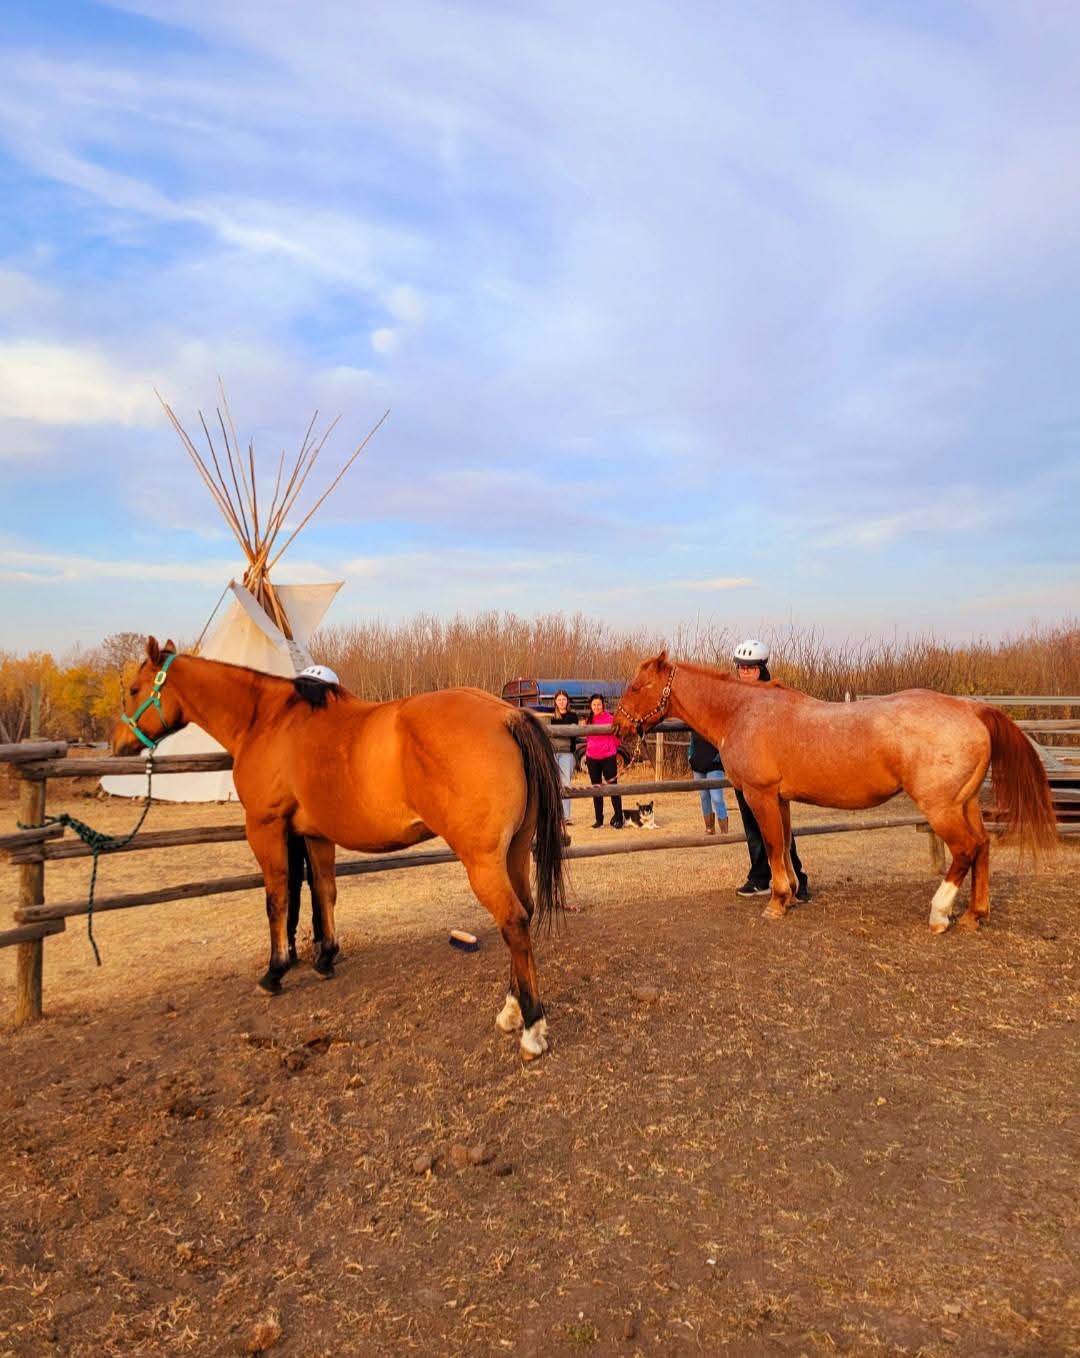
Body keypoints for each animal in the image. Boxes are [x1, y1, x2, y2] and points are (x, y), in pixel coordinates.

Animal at [111, 638, 567, 1059]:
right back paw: (511, 1011)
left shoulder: (265, 828)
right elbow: (324, 891)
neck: (268, 720)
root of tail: (506, 714)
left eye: (133, 689)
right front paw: (325, 957)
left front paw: (274, 973)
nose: (118, 746)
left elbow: (277, 899)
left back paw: (531, 1028)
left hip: (482, 861)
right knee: (524, 911)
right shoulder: (315, 834)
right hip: (514, 850)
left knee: (513, 922)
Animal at [612, 652, 1057, 931]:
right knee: (982, 846)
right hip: (965, 803)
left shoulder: (760, 795)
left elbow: (770, 845)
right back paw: (974, 915)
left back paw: (939, 914)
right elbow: (785, 844)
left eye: (636, 686)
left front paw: (776, 902)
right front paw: (791, 894)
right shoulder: (781, 799)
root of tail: (971, 708)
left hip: (941, 808)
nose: (618, 728)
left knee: (965, 849)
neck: (744, 711)